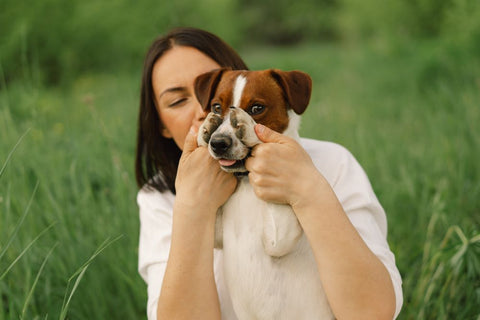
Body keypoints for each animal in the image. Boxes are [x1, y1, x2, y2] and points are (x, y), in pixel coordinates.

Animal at [195, 69, 334, 318]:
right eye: (216, 107)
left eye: (257, 108)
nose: (218, 143)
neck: (246, 187)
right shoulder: (215, 233)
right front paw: (205, 130)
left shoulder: (279, 239)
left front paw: (248, 127)